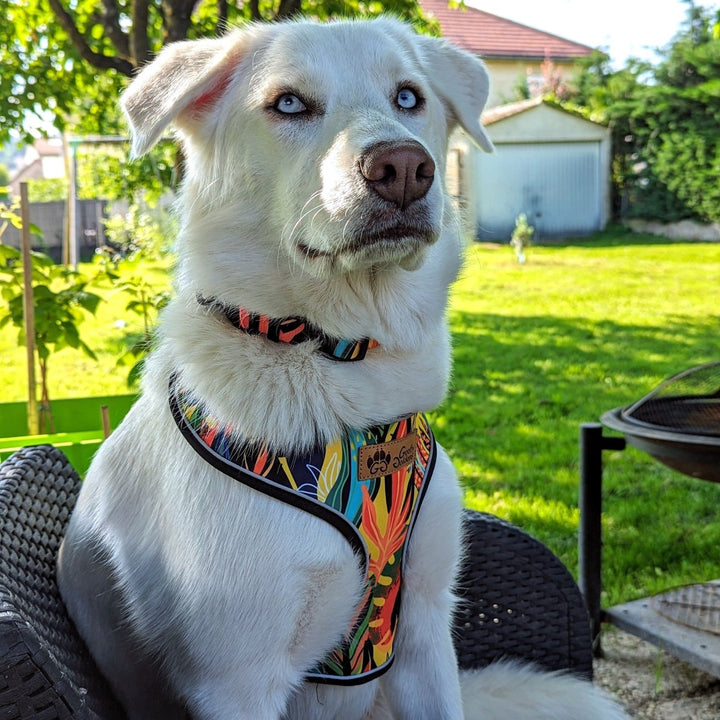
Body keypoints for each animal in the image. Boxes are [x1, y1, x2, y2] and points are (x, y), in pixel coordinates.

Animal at [57, 16, 632, 720]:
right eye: (288, 104)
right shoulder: (237, 683)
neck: (333, 363)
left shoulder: (423, 626)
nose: (405, 167)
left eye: (408, 96)